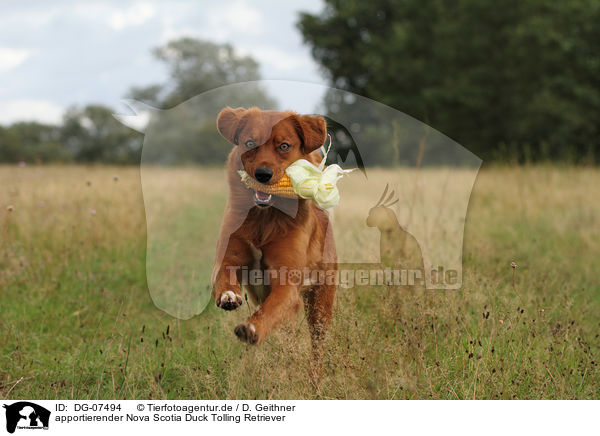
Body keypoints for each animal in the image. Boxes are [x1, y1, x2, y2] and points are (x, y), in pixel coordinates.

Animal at [212, 105, 338, 358]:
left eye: (284, 146)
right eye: (250, 143)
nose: (262, 174)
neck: (264, 218)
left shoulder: (287, 282)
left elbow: (271, 309)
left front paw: (252, 328)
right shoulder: (229, 256)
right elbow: (224, 275)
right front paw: (228, 295)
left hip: (321, 305)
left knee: (317, 345)